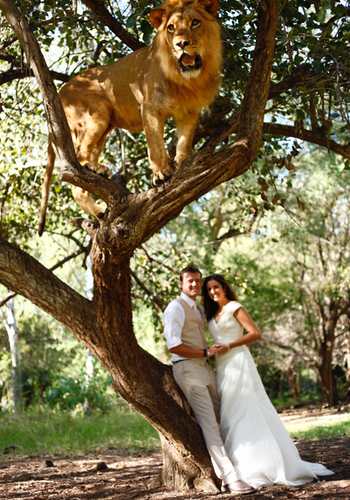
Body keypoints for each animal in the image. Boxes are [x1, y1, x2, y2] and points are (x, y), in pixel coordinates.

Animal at [38, 0, 221, 234]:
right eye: (171, 28)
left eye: (195, 23)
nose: (181, 44)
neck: (186, 80)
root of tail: (61, 90)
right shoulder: (150, 108)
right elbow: (155, 146)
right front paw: (161, 173)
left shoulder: (189, 112)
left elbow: (184, 141)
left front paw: (183, 162)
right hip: (97, 114)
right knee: (77, 159)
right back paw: (95, 176)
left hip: (104, 127)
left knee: (80, 178)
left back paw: (99, 204)